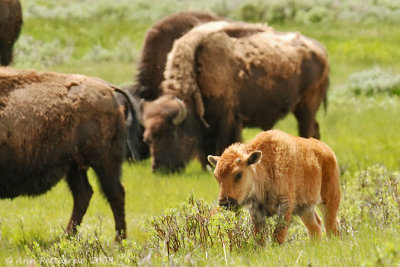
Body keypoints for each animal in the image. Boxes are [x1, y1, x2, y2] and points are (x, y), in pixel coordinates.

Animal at [0, 67, 142, 241]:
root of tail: (107, 88)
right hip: (74, 166)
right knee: (84, 194)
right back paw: (67, 236)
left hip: (103, 162)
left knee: (115, 194)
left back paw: (119, 241)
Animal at [140, 20, 328, 172]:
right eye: (147, 139)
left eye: (171, 135)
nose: (158, 169)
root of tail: (320, 50)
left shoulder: (227, 118)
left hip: (306, 108)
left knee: (306, 130)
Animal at [206, 131, 340, 246]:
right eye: (216, 176)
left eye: (238, 174)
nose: (224, 203)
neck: (265, 166)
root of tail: (328, 151)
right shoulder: (256, 211)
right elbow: (259, 236)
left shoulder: (285, 204)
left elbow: (278, 234)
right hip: (305, 208)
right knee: (316, 226)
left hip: (328, 199)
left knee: (331, 224)